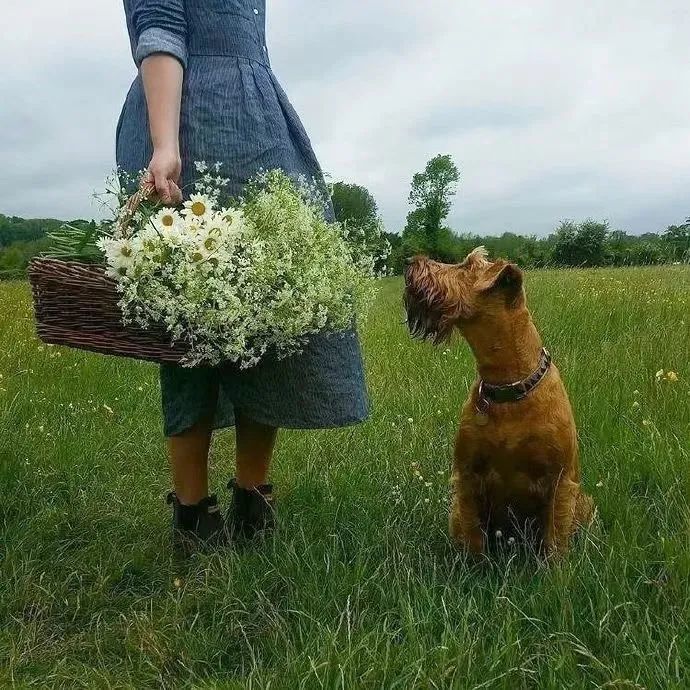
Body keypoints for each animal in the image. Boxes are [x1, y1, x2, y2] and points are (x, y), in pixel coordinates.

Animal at [404, 247, 592, 552]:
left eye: (466, 266)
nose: (409, 261)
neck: (509, 388)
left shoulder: (560, 483)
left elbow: (555, 544)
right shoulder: (467, 478)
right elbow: (473, 539)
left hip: (584, 501)